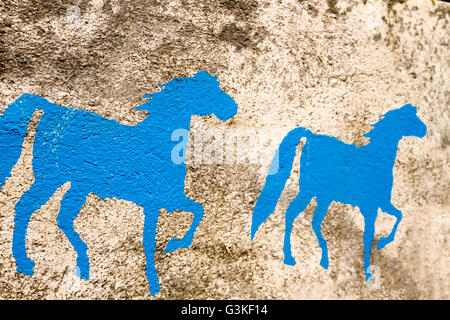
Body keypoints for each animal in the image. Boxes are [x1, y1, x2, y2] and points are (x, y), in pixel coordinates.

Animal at [0, 70, 237, 296]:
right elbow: (149, 242)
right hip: (50, 178)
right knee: (25, 207)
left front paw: (175, 244)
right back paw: (25, 263)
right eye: (208, 90)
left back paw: (83, 263)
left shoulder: (171, 198)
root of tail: (52, 107)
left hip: (78, 186)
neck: (160, 142)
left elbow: (198, 210)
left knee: (63, 218)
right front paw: (154, 282)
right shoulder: (154, 202)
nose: (232, 108)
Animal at [251, 105, 428, 280]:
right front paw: (369, 268)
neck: (376, 160)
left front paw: (381, 244)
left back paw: (317, 259)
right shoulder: (370, 206)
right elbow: (370, 234)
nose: (424, 130)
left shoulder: (382, 203)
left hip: (320, 196)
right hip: (312, 191)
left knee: (306, 218)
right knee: (298, 214)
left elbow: (398, 215)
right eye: (411, 118)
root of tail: (311, 136)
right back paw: (294, 257)